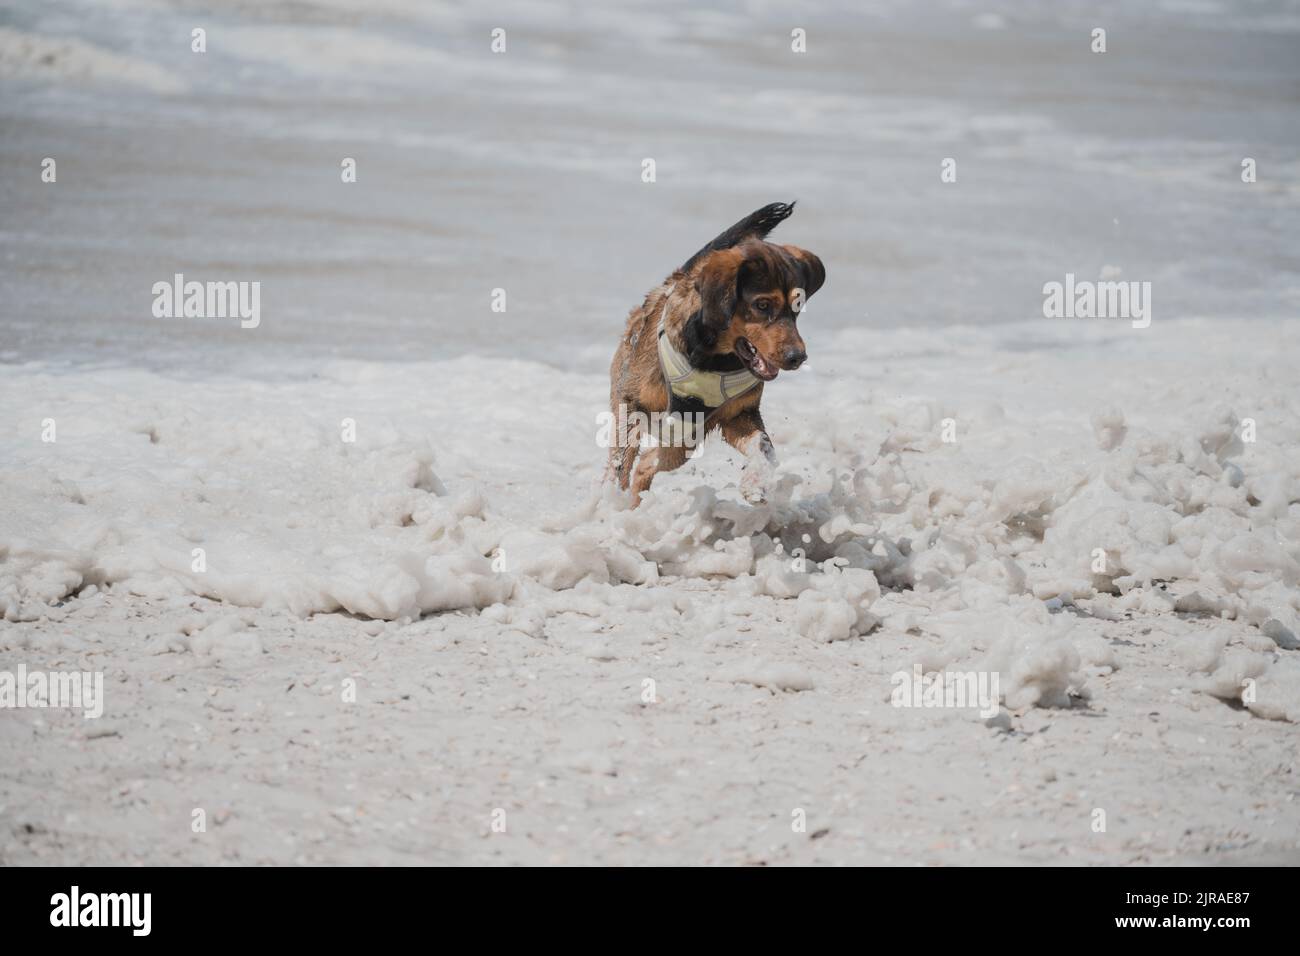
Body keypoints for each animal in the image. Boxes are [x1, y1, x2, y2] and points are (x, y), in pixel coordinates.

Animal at [605, 202, 821, 509]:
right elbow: (619, 463)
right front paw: (608, 504)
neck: (714, 358)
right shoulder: (631, 402)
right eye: (762, 305)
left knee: (648, 463)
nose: (797, 357)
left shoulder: (738, 415)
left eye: (797, 306)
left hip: (687, 436)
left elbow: (764, 446)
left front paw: (756, 482)